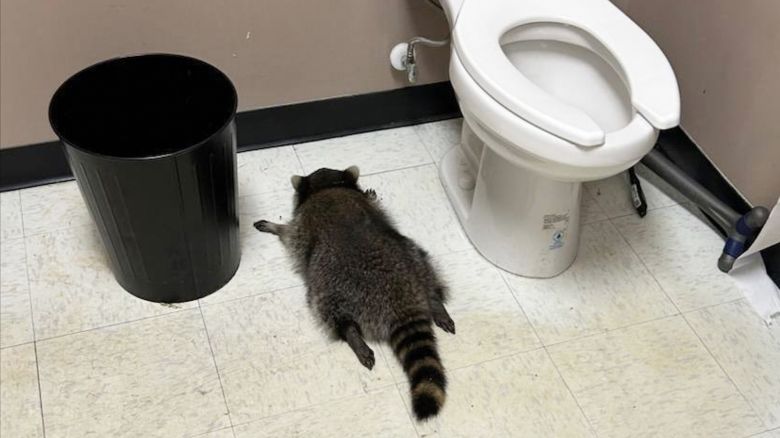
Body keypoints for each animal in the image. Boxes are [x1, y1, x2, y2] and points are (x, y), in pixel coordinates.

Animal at [254, 166, 455, 421]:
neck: (329, 186)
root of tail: (402, 300)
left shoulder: (302, 226)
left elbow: (289, 233)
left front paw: (275, 227)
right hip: (413, 256)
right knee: (426, 269)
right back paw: (435, 301)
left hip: (331, 285)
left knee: (329, 310)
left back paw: (351, 334)